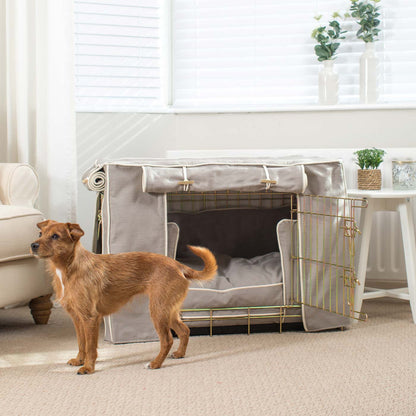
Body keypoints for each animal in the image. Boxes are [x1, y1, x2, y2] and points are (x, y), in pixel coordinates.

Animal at [30, 220, 217, 374]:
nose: (32, 245)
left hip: (158, 311)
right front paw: (79, 360)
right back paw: (179, 354)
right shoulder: (77, 318)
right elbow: (82, 343)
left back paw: (155, 364)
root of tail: (179, 266)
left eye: (55, 236)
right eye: (40, 234)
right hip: (168, 311)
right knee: (184, 330)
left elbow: (90, 347)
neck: (70, 268)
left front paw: (88, 367)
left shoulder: (90, 318)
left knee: (168, 340)